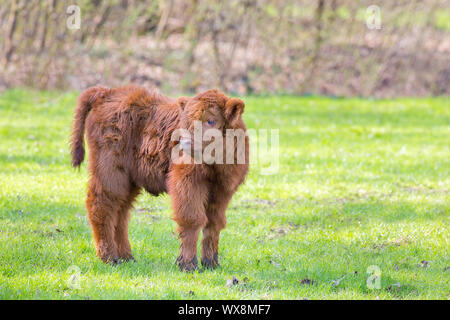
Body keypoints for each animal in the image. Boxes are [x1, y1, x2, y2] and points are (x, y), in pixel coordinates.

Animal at [69, 85, 250, 270]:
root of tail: (105, 92)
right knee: (101, 206)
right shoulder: (187, 184)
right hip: (111, 173)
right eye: (185, 121)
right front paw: (187, 264)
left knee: (121, 214)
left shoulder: (222, 192)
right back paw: (110, 258)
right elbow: (192, 219)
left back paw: (127, 257)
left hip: (129, 181)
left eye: (211, 120)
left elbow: (214, 224)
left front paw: (211, 264)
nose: (184, 142)